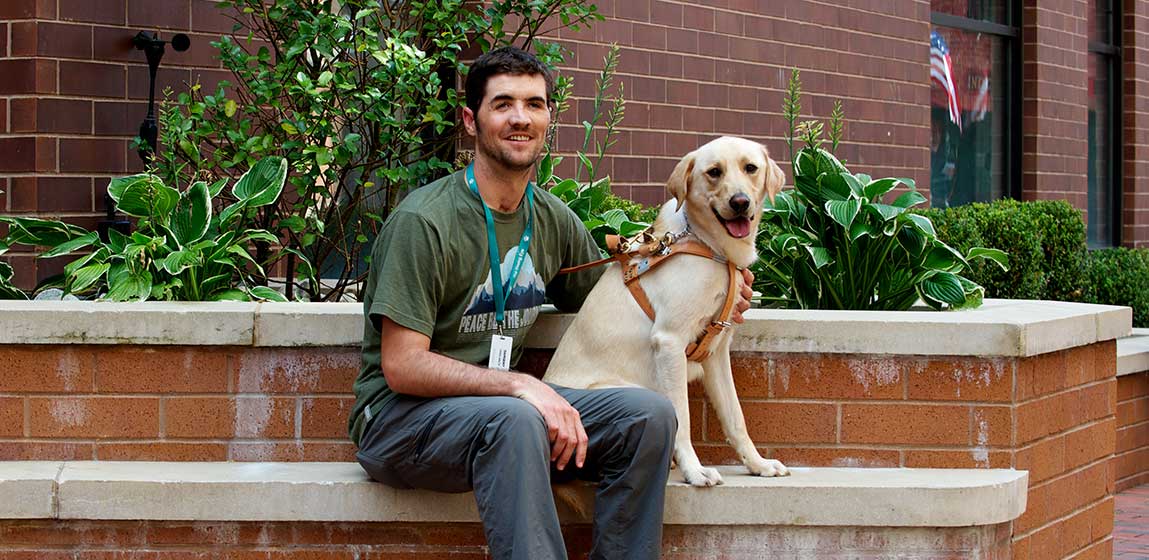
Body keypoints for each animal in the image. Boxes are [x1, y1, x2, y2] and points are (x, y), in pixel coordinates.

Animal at [546, 135, 790, 487]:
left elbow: (735, 417)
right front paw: (694, 469)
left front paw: (757, 464)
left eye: (751, 168)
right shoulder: (670, 341)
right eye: (714, 172)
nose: (741, 202)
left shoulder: (716, 352)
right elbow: (682, 420)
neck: (710, 248)